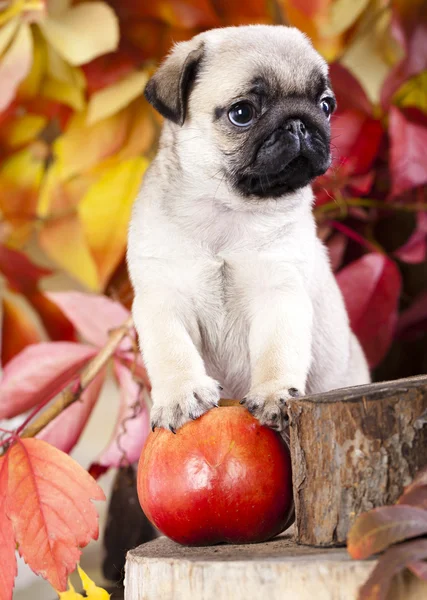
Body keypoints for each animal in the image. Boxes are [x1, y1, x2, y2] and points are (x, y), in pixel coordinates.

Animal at [128, 25, 372, 434]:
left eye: (325, 105)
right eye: (242, 113)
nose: (299, 122)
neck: (227, 211)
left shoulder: (278, 293)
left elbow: (277, 351)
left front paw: (275, 393)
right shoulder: (162, 299)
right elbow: (172, 351)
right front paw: (180, 396)